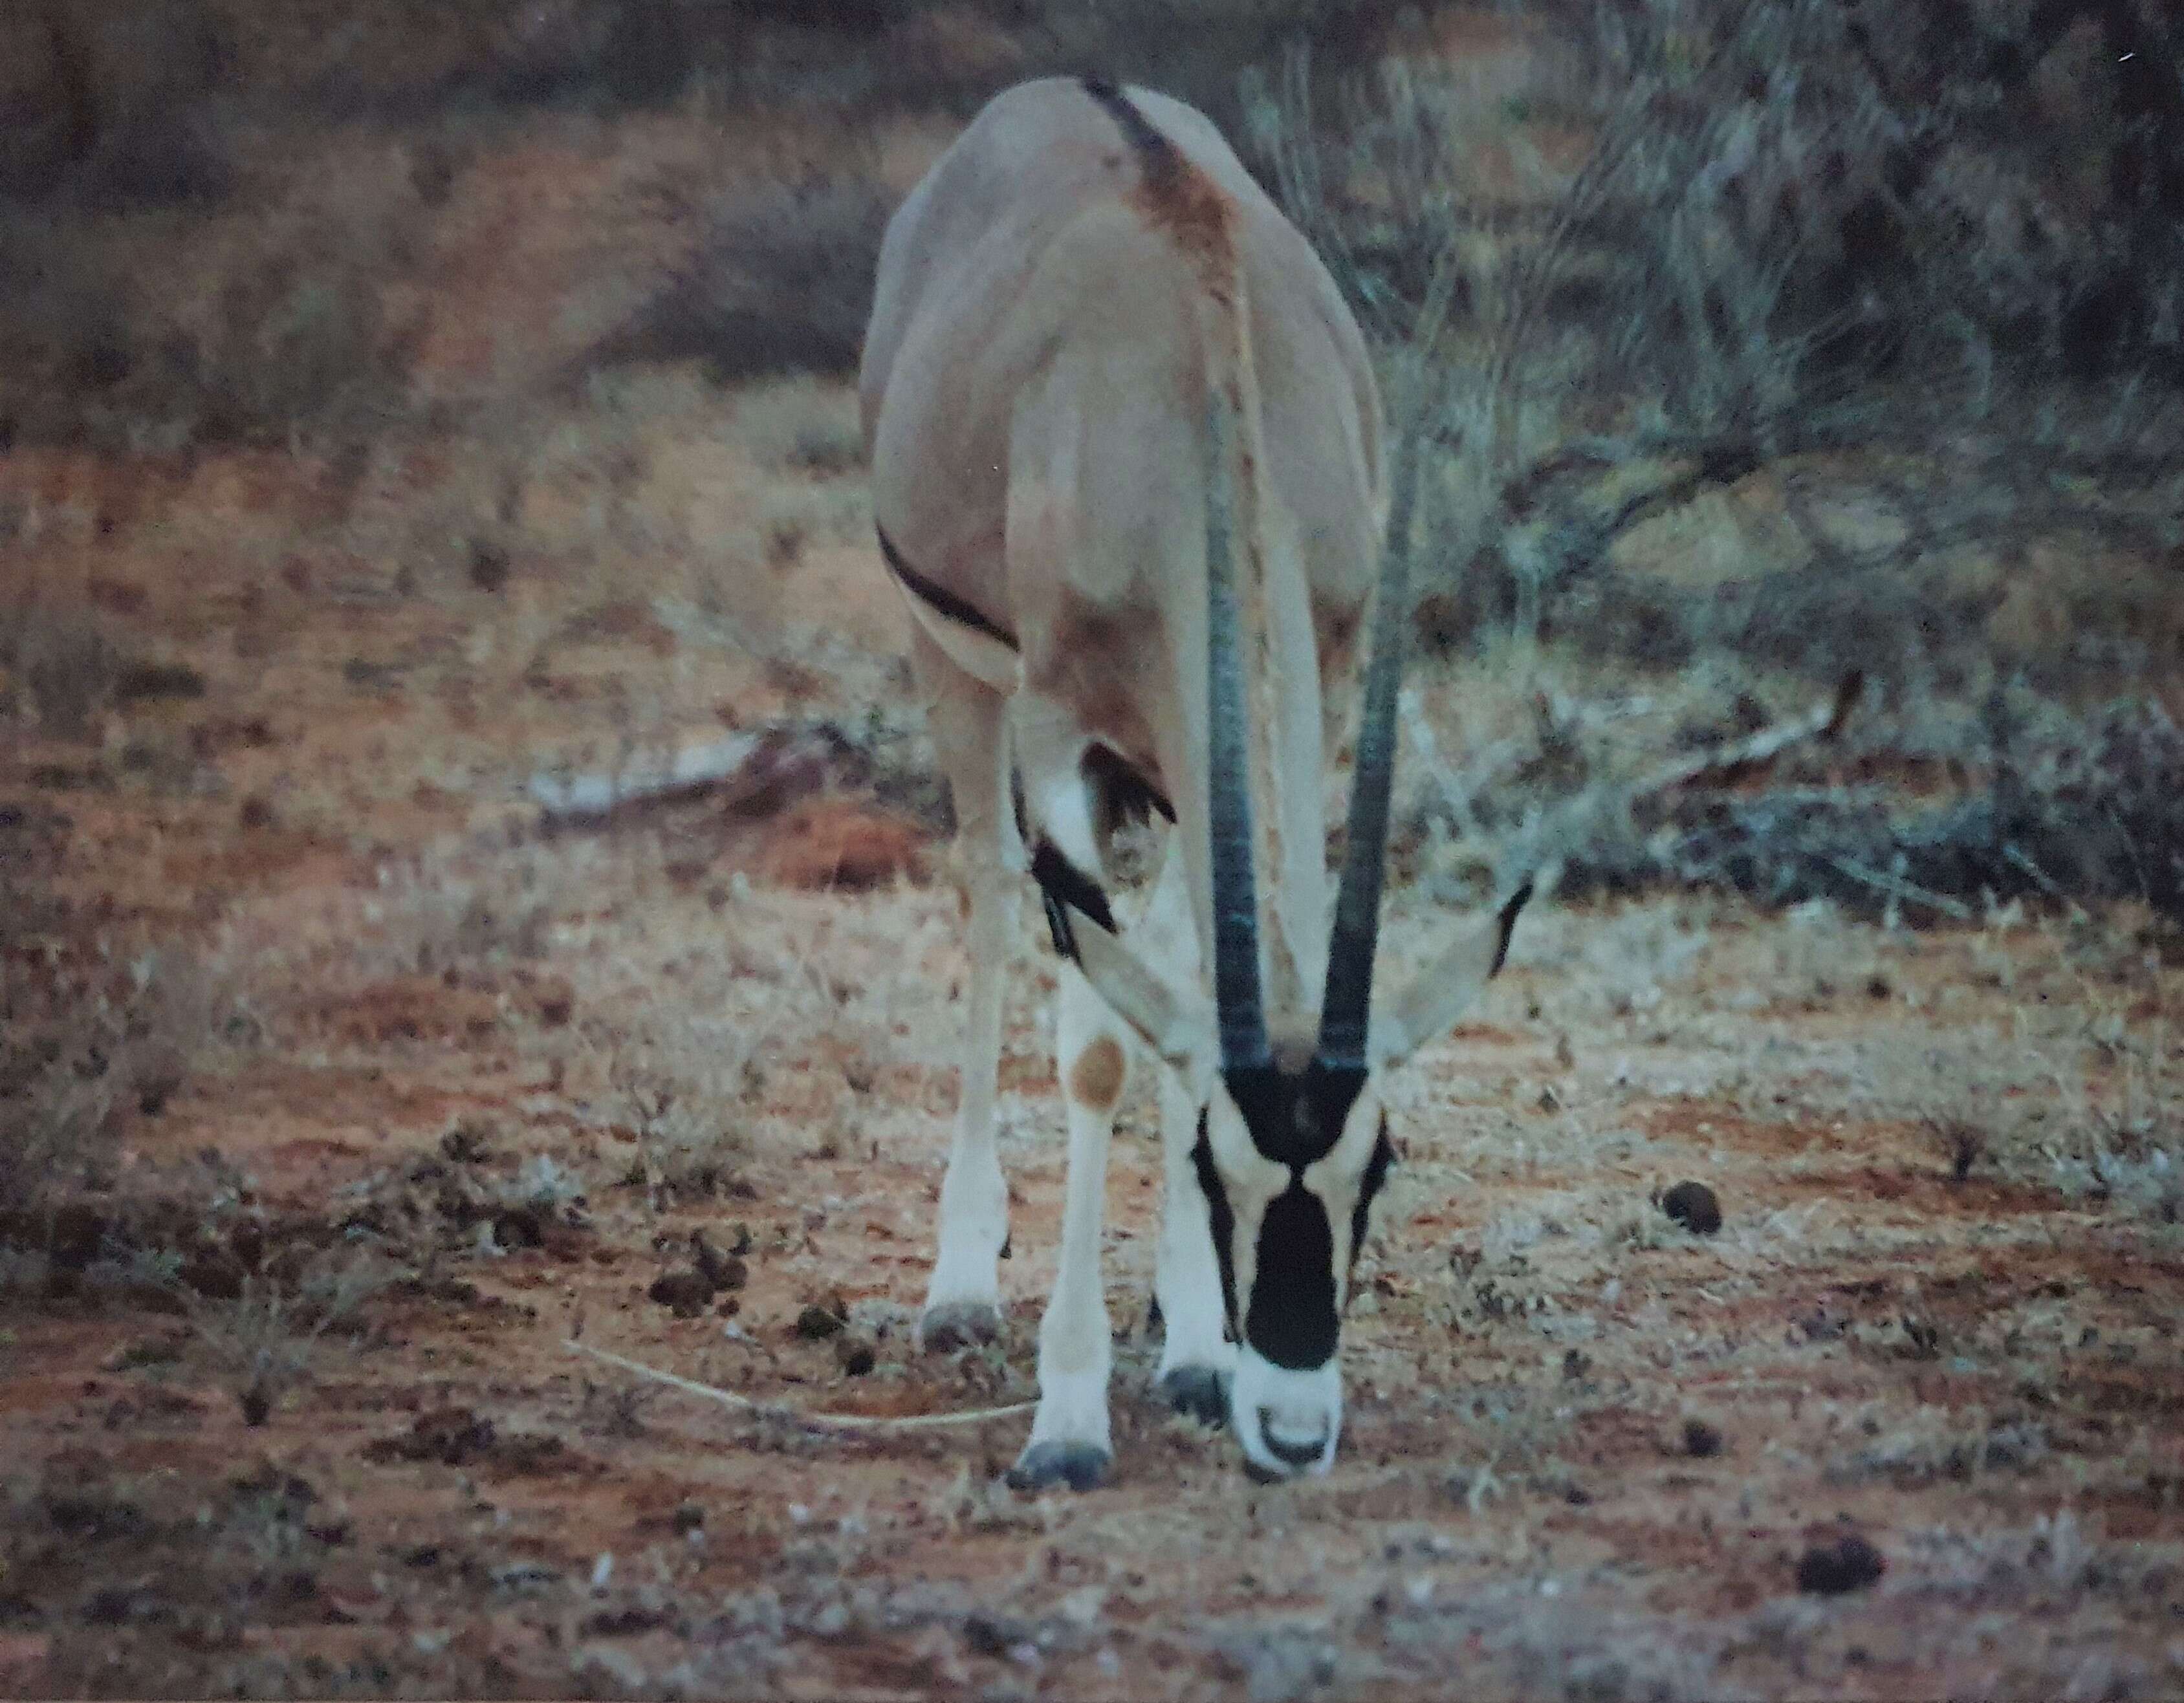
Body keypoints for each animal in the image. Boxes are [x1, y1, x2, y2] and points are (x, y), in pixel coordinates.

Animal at [860, 83, 1529, 1493]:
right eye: (1222, 1173)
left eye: (1374, 1168)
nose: (1293, 1427)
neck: (1195, 381)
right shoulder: (1059, 737)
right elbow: (1100, 1048)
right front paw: (1068, 1414)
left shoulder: (1287, 719)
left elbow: (1182, 994)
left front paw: (1197, 1351)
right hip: (953, 665)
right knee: (991, 898)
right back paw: (960, 1281)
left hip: (1154, 775)